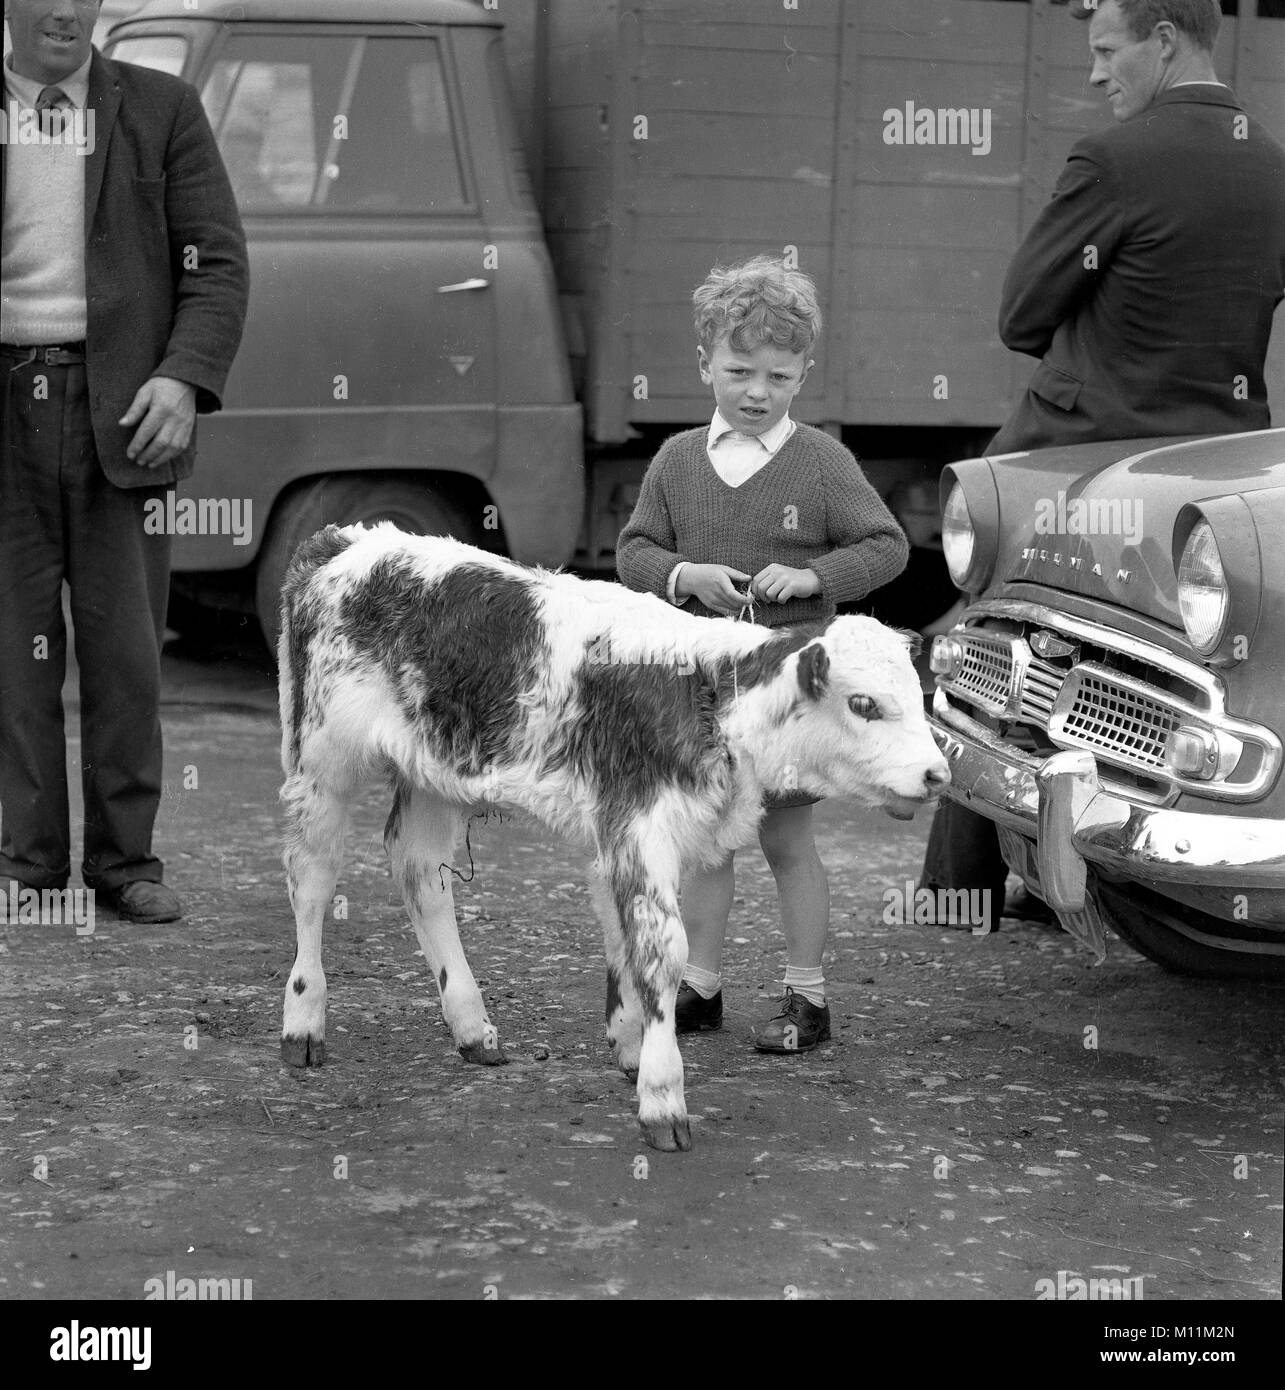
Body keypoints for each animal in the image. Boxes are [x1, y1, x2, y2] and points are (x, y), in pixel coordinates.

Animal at [276, 522, 951, 1150]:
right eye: (864, 703)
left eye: (918, 697)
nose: (938, 774)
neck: (709, 694)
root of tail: (345, 540)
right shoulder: (639, 829)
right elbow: (660, 952)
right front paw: (662, 1093)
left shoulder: (624, 835)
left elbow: (625, 943)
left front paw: (629, 1046)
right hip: (322, 761)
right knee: (312, 876)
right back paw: (303, 1021)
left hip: (435, 770)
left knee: (421, 872)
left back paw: (471, 1028)